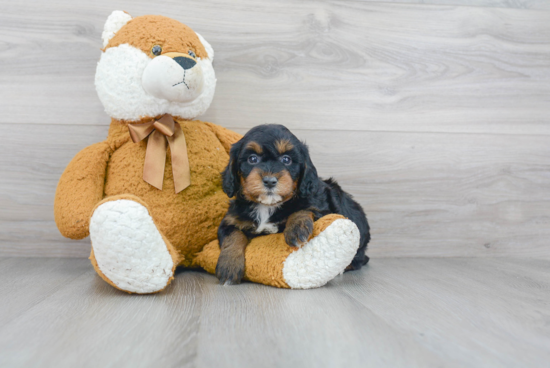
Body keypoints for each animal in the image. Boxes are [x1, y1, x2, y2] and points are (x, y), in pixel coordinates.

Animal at [216, 124, 370, 284]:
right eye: (252, 159)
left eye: (286, 159)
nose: (270, 181)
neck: (267, 206)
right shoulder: (230, 220)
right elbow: (233, 236)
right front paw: (229, 265)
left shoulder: (322, 207)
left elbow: (303, 208)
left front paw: (296, 228)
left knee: (360, 259)